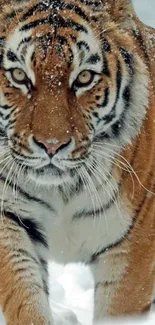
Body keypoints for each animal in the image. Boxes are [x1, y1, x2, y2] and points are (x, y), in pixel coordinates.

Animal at [0, 0, 154, 322]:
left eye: (84, 78)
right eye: (19, 75)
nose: (51, 145)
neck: (62, 191)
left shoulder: (134, 247)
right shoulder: (8, 219)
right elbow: (25, 302)